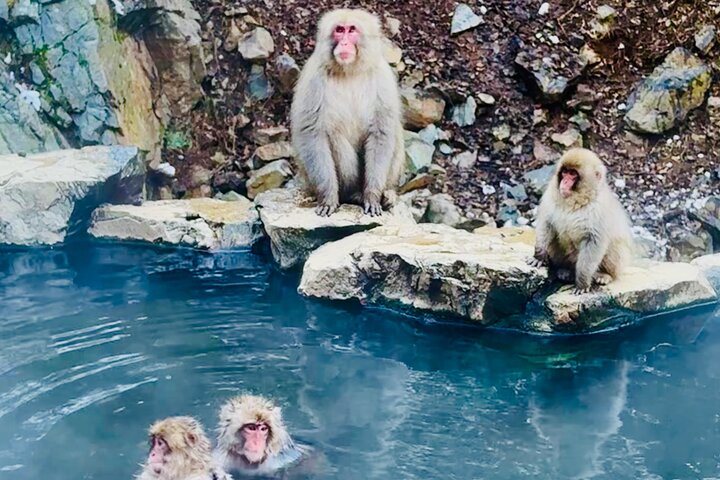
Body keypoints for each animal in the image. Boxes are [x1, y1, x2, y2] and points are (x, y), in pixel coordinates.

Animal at [290, 8, 405, 217]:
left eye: (351, 30)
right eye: (339, 30)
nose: (344, 43)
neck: (349, 71)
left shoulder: (383, 77)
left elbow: (382, 132)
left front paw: (372, 196)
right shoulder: (313, 77)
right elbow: (313, 133)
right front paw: (328, 197)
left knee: (395, 133)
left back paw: (385, 194)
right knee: (333, 135)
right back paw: (351, 194)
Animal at [528, 148, 634, 294]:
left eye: (573, 174)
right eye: (565, 172)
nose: (564, 182)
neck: (576, 202)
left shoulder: (599, 211)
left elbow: (594, 242)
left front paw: (582, 283)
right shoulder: (550, 194)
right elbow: (546, 224)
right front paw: (538, 256)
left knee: (615, 246)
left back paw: (605, 275)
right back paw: (566, 271)